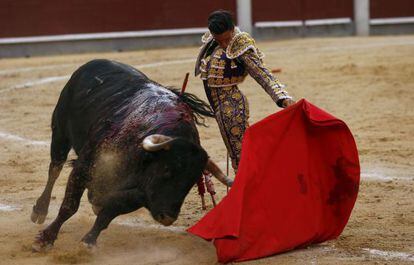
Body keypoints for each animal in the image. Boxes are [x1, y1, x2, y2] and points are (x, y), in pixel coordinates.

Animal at [31, 59, 233, 250]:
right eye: (167, 170)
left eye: (191, 183)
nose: (167, 217)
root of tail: (95, 62)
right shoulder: (83, 168)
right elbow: (69, 207)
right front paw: (44, 240)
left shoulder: (139, 196)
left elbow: (107, 214)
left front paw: (88, 241)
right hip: (60, 133)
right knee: (54, 170)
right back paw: (39, 210)